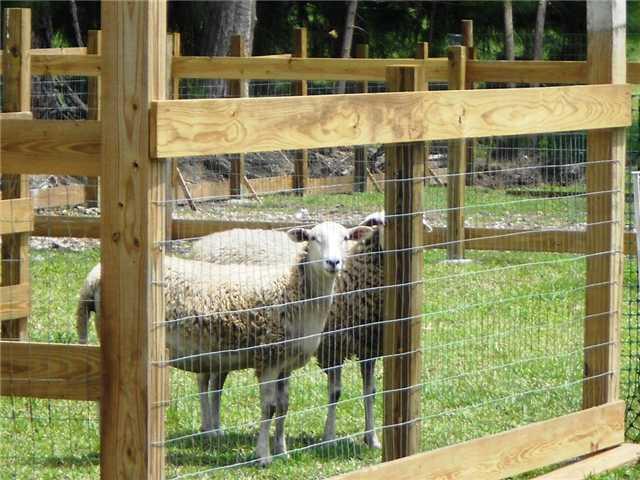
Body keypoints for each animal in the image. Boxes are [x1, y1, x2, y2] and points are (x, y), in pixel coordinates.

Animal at [75, 221, 374, 467]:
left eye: (346, 238)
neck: (293, 293)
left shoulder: (285, 361)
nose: (333, 262)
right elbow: (269, 407)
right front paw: (263, 456)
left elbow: (284, 406)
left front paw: (282, 451)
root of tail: (95, 276)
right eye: (312, 238)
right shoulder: (268, 356)